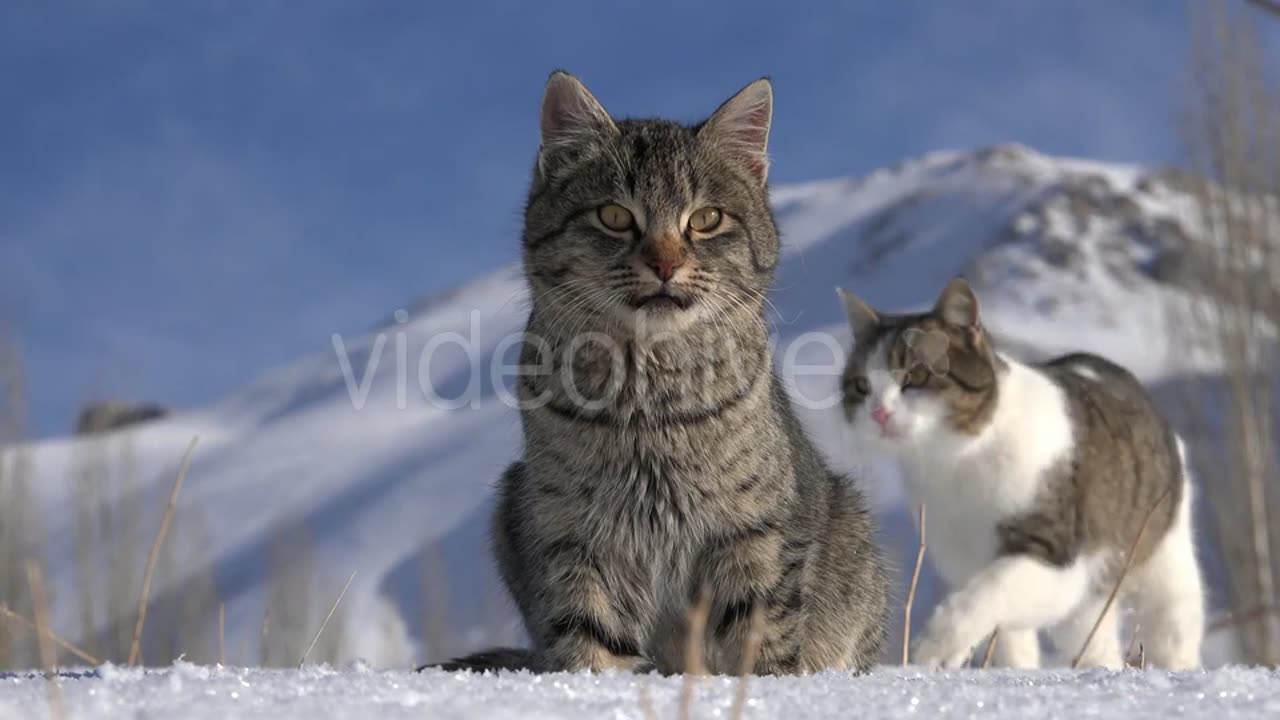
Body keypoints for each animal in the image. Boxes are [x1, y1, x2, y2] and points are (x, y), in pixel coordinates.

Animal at [839, 279, 1198, 666]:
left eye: (915, 376)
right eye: (861, 386)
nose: (879, 413)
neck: (955, 460)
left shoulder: (1055, 556)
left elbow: (989, 590)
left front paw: (936, 647)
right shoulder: (961, 557)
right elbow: (1007, 636)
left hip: (1166, 564)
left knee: (1174, 632)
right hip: (1090, 605)